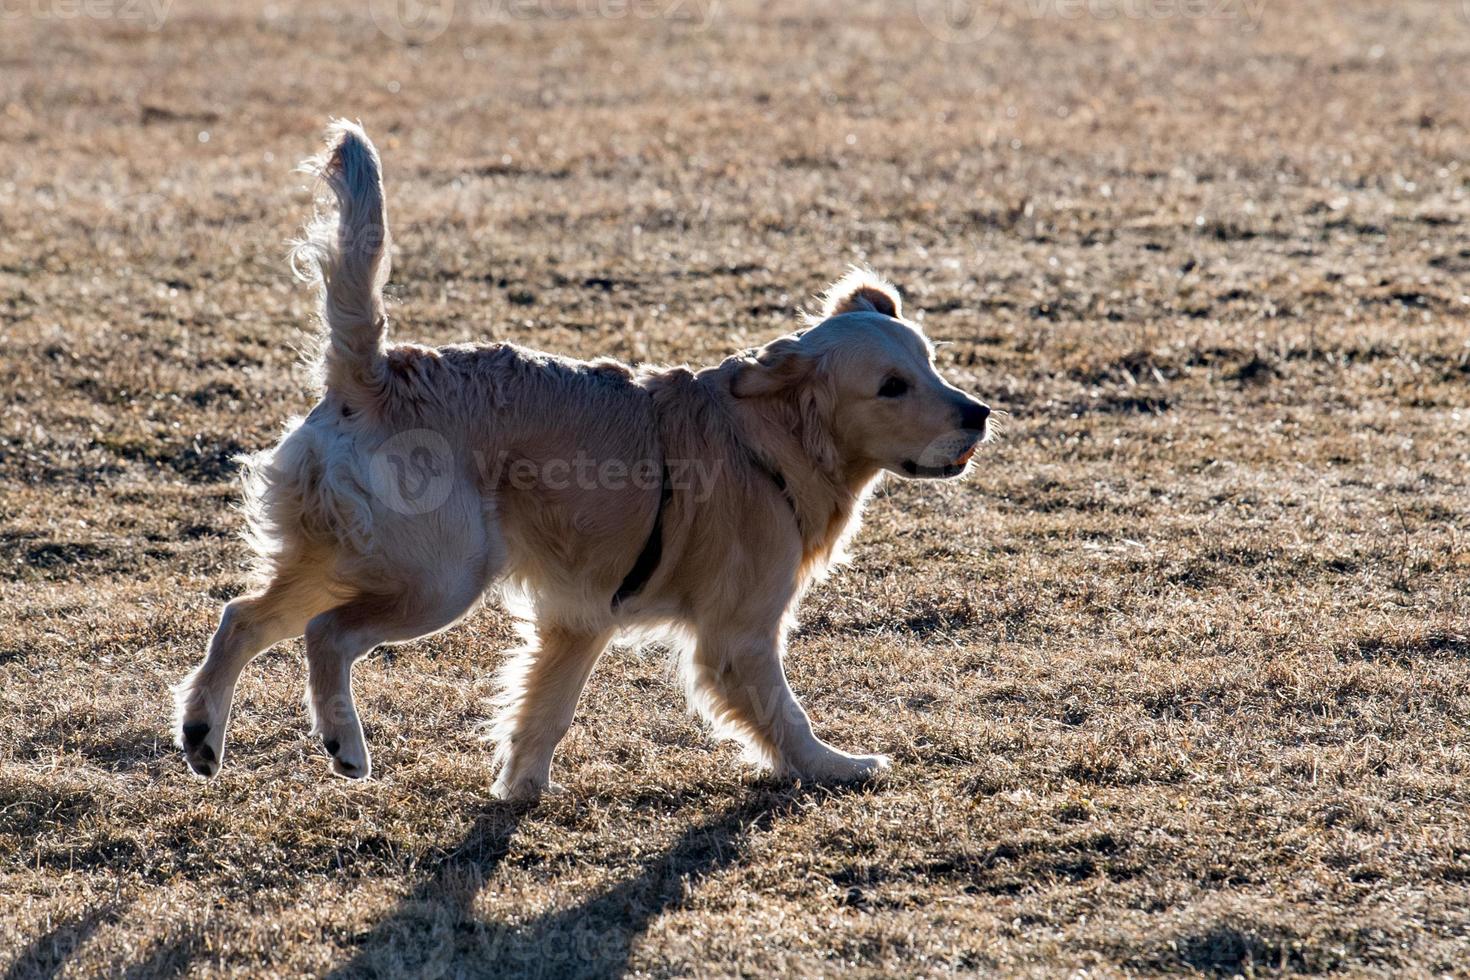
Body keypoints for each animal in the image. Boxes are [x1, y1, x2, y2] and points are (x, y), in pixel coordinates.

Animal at [177, 120, 993, 799]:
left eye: (931, 363)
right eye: (891, 387)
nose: (979, 415)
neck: (769, 437)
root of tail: (373, 373)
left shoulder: (579, 618)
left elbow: (544, 712)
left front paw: (519, 793)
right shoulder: (739, 635)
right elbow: (783, 715)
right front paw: (835, 766)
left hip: (345, 554)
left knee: (240, 617)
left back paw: (203, 735)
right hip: (440, 575)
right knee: (326, 635)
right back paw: (343, 744)